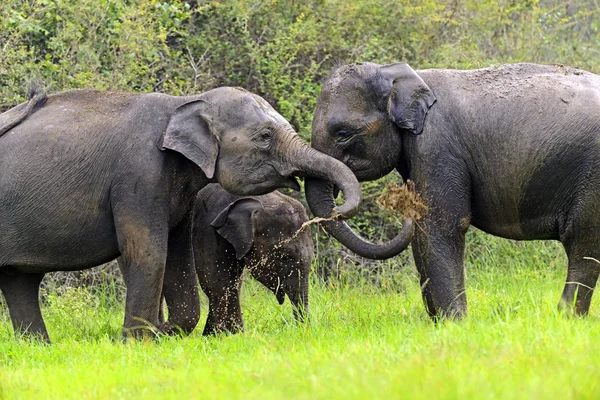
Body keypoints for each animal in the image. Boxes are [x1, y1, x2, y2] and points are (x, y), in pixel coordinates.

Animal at [156, 183, 314, 336]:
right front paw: (234, 335)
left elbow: (234, 281)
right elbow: (216, 281)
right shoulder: (209, 228)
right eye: (285, 257)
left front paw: (214, 336)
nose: (301, 331)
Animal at [308, 61, 600, 318]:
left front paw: (455, 323)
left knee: (582, 239)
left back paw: (566, 318)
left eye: (343, 133)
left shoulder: (436, 146)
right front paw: (439, 323)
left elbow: (440, 227)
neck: (399, 75)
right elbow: (422, 234)